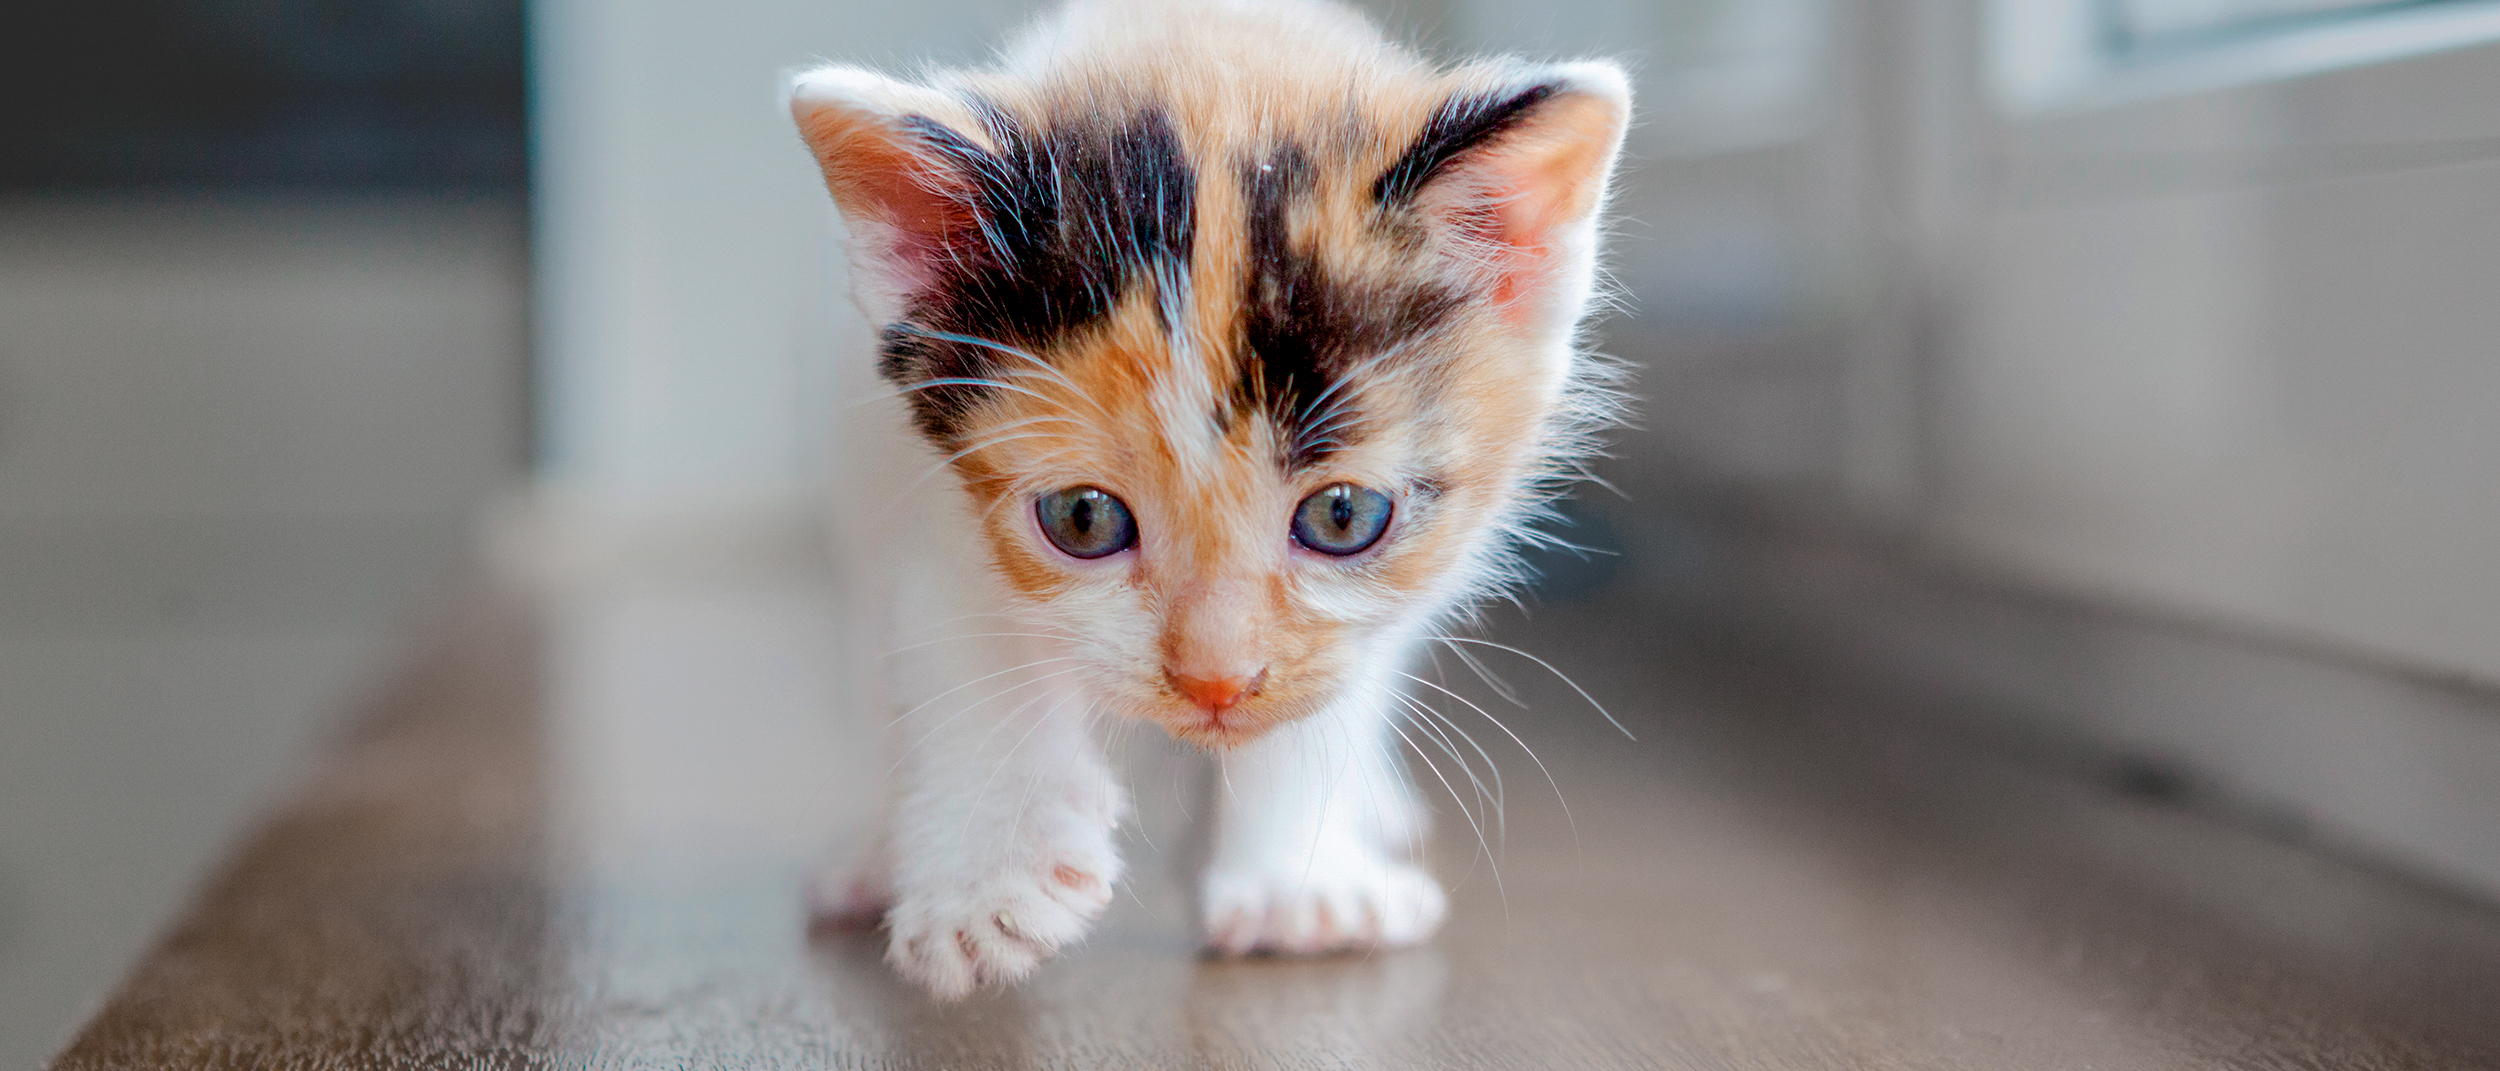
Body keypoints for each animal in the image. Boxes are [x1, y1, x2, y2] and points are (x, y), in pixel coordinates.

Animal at [790, 0, 1630, 1000]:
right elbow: (961, 642)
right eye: (1083, 519)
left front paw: (1301, 895)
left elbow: (1328, 693)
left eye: (1343, 517)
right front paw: (990, 879)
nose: (1215, 683)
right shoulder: (916, 483)